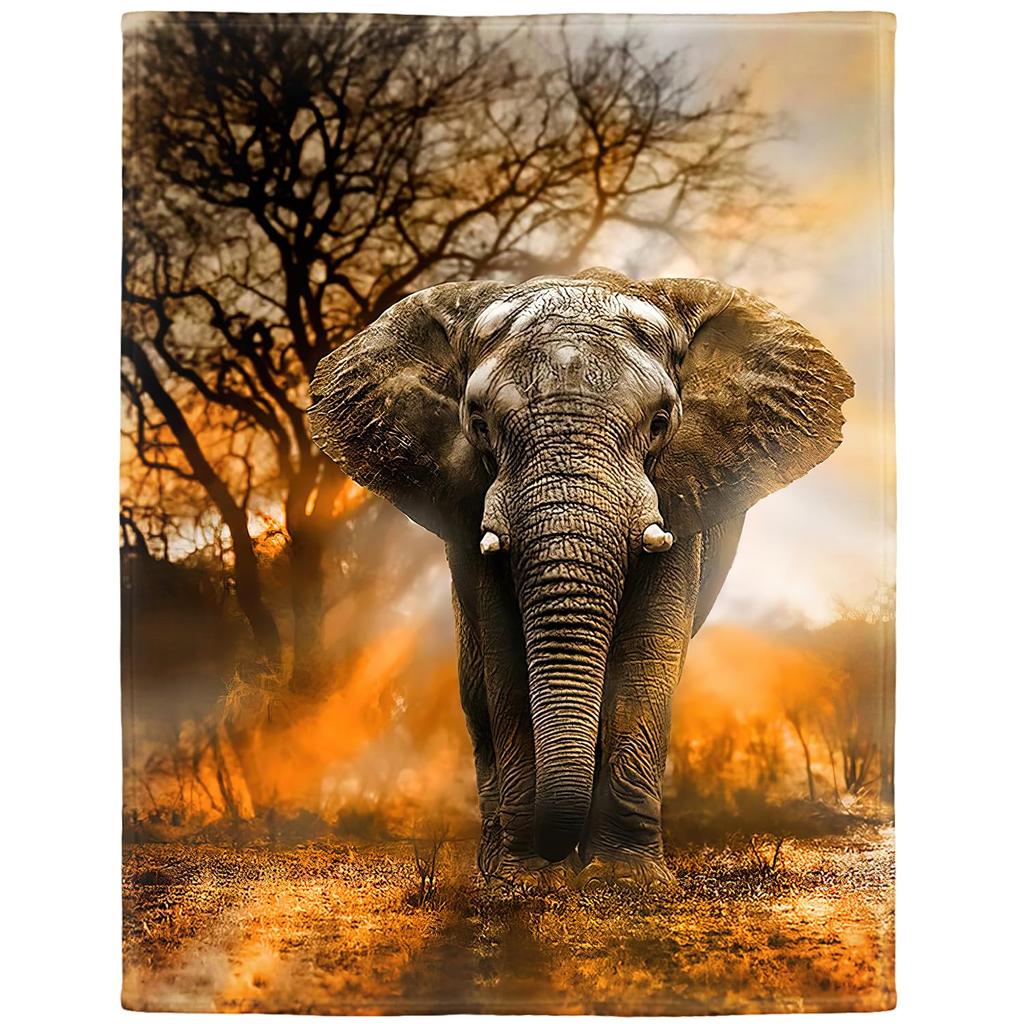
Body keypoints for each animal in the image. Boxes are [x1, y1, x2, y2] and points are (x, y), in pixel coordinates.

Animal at [308, 267, 854, 889]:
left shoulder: (678, 496)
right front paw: (522, 883)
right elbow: (505, 661)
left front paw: (625, 881)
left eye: (660, 422)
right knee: (475, 693)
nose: (554, 855)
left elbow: (645, 659)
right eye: (478, 423)